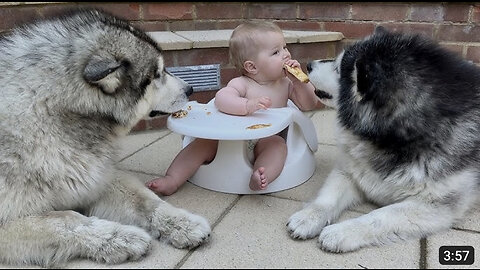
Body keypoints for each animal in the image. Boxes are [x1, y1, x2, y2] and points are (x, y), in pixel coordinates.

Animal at [0, 8, 210, 268]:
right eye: (157, 75)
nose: (190, 89)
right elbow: (66, 219)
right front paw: (118, 237)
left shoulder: (96, 179)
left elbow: (145, 200)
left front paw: (181, 223)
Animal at [286, 26, 478, 252]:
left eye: (338, 69)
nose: (309, 64)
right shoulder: (350, 171)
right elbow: (327, 198)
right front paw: (308, 216)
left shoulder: (435, 205)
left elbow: (380, 216)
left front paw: (342, 231)